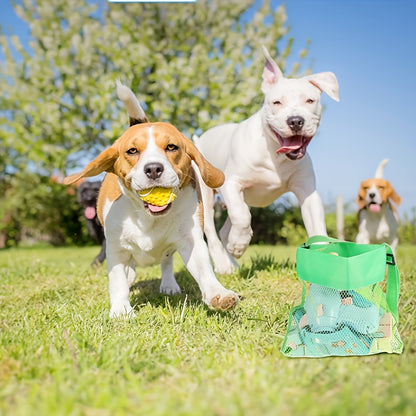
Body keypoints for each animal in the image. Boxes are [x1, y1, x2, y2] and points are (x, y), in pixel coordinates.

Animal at [61, 82, 237, 318]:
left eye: (171, 147)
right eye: (132, 151)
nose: (153, 169)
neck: (147, 217)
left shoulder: (191, 239)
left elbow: (204, 270)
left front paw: (218, 294)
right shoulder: (115, 247)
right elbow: (117, 279)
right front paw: (121, 309)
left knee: (166, 261)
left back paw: (169, 284)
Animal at [195, 47, 338, 274]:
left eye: (310, 101)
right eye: (277, 102)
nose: (295, 121)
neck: (274, 153)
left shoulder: (307, 192)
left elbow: (317, 228)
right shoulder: (232, 183)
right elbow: (242, 217)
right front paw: (239, 243)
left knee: (226, 230)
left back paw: (233, 262)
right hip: (206, 195)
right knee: (212, 230)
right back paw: (224, 265)